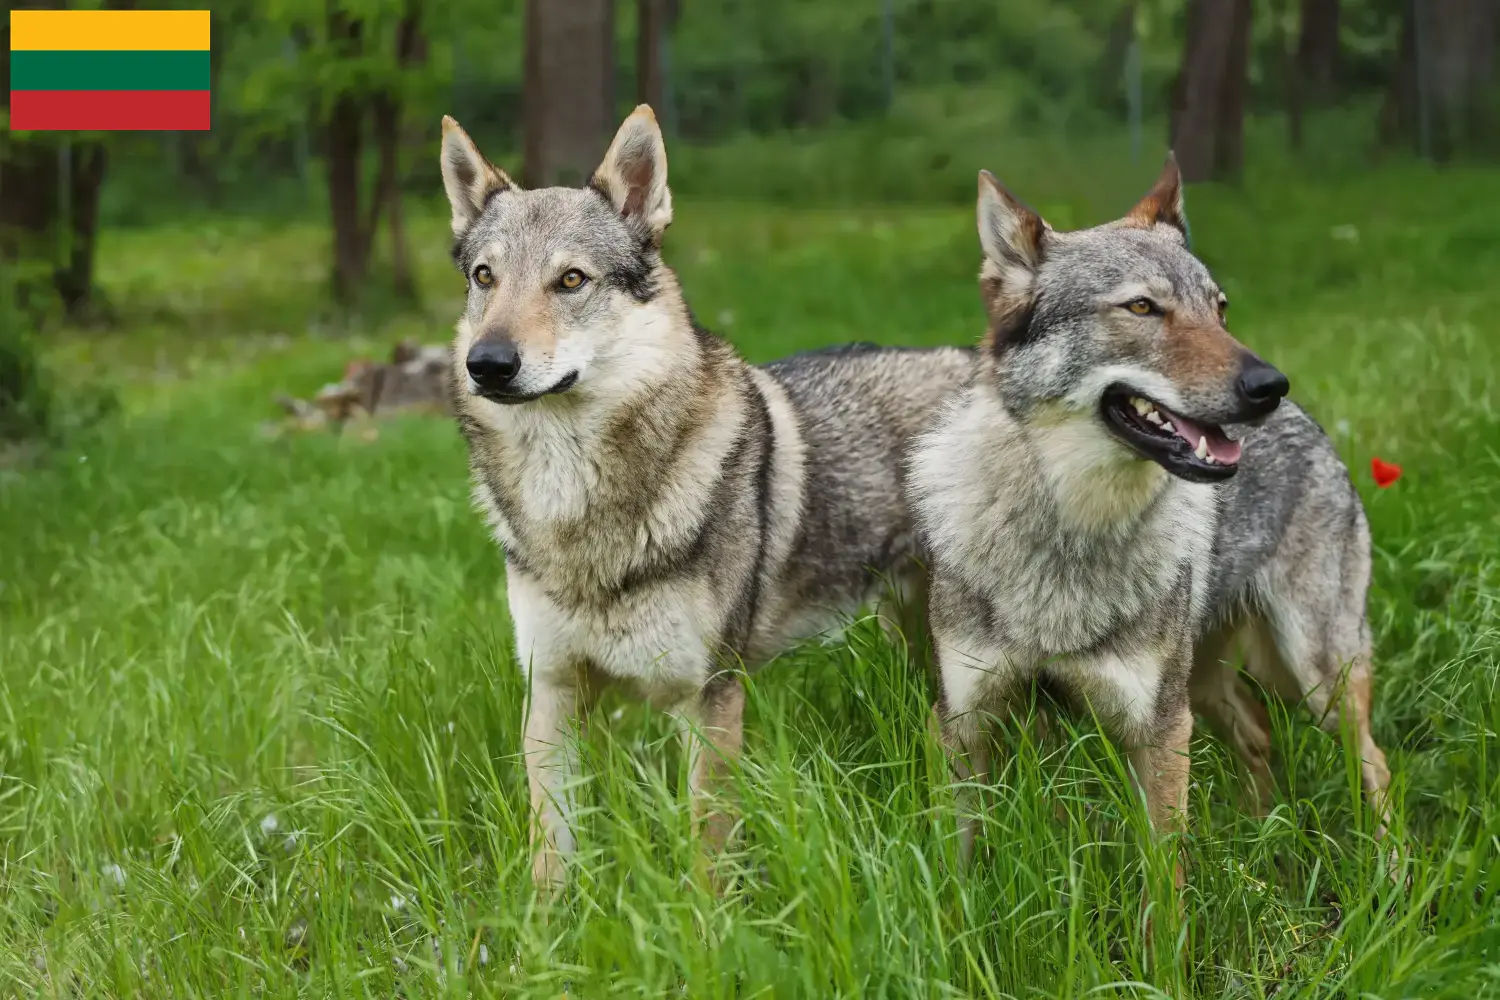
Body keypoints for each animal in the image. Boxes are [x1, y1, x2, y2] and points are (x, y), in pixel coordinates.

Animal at [438, 107, 972, 893]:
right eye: (485, 277)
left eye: (571, 279)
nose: (488, 363)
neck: (575, 512)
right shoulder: (553, 691)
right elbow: (551, 855)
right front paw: (544, 926)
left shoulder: (710, 696)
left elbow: (706, 855)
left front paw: (709, 922)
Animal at [906, 154, 1398, 875]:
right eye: (1142, 306)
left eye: (1219, 309)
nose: (1268, 387)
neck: (1068, 536)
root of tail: (1315, 422)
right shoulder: (966, 724)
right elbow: (954, 867)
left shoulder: (1158, 730)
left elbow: (1164, 884)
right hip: (1210, 685)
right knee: (1258, 734)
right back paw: (1259, 844)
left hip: (1314, 677)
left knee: (1375, 763)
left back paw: (1391, 873)